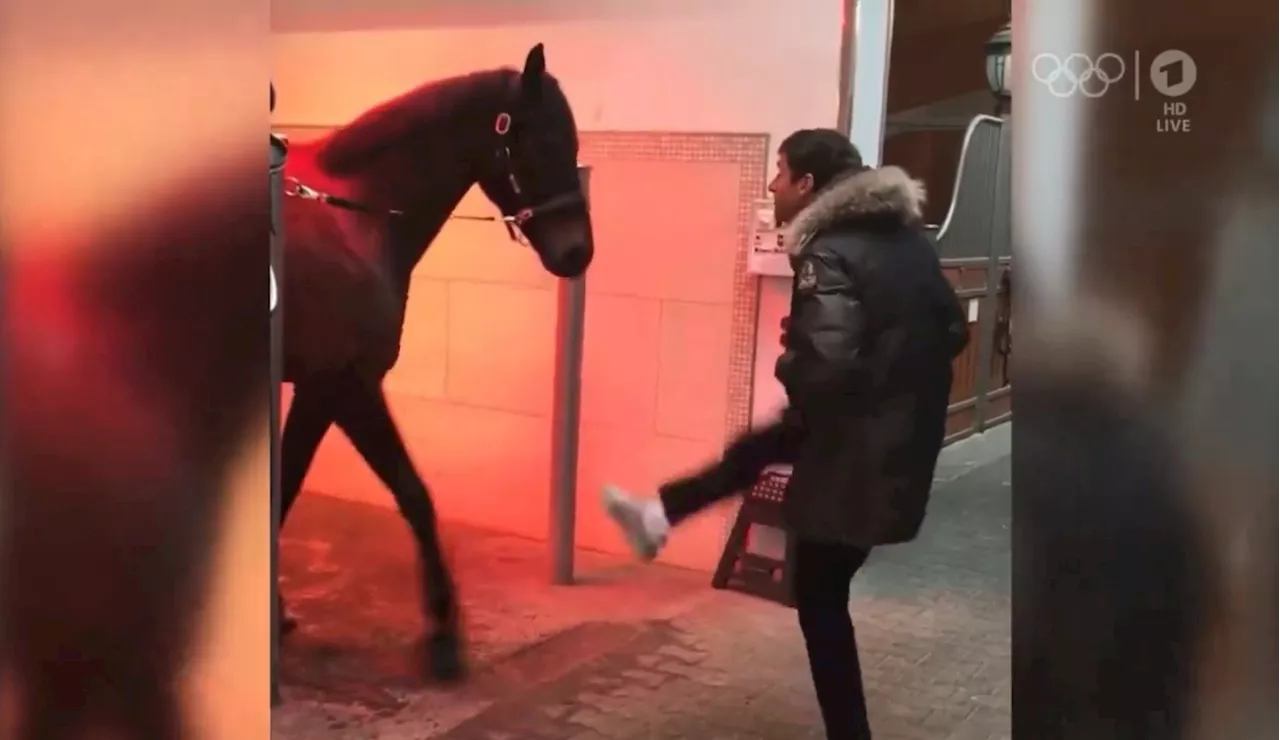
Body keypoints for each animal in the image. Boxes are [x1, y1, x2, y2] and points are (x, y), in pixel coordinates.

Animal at [276, 44, 593, 681]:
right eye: (545, 141)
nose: (580, 253)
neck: (356, 214)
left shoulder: (327, 389)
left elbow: (394, 493)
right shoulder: (339, 384)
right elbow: (395, 494)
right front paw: (444, 635)